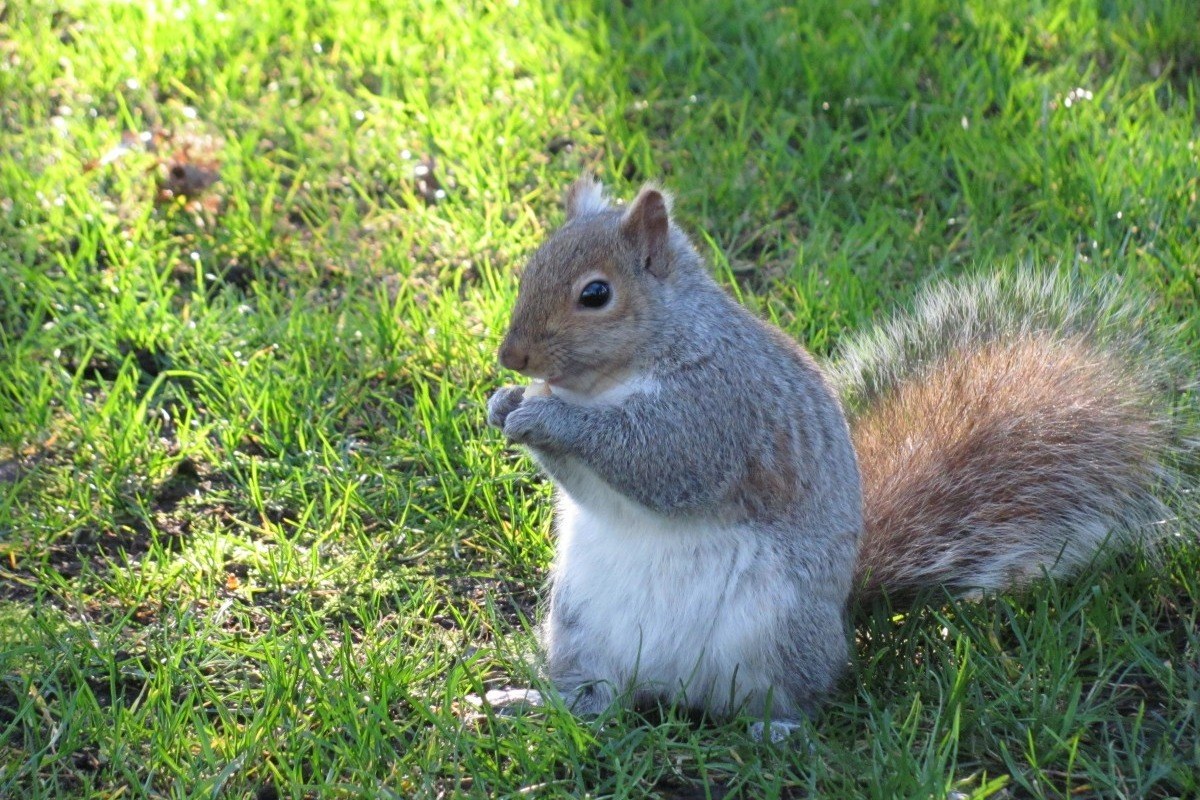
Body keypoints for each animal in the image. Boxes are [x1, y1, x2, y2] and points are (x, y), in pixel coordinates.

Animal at [484, 175, 1190, 737]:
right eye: (529, 266)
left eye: (595, 295)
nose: (510, 357)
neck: (617, 378)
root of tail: (670, 688)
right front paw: (504, 403)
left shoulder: (720, 411)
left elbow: (658, 460)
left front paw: (545, 416)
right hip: (580, 627)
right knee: (601, 695)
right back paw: (535, 702)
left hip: (776, 630)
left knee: (796, 700)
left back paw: (775, 731)